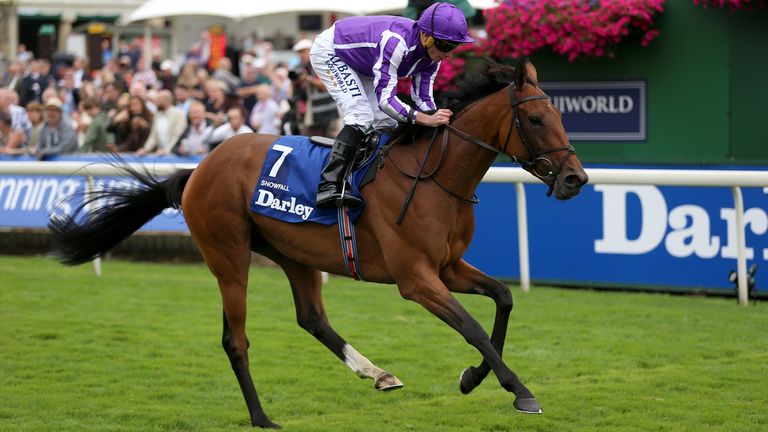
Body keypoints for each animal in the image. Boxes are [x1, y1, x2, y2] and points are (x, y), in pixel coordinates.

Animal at [49, 58, 588, 428]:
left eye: (561, 117)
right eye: (536, 121)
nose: (576, 179)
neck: (434, 176)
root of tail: (199, 167)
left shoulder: (449, 265)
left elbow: (503, 297)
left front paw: (473, 378)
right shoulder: (415, 278)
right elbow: (472, 326)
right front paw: (519, 390)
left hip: (294, 255)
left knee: (311, 318)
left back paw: (377, 373)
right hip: (228, 255)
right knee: (235, 339)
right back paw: (262, 417)